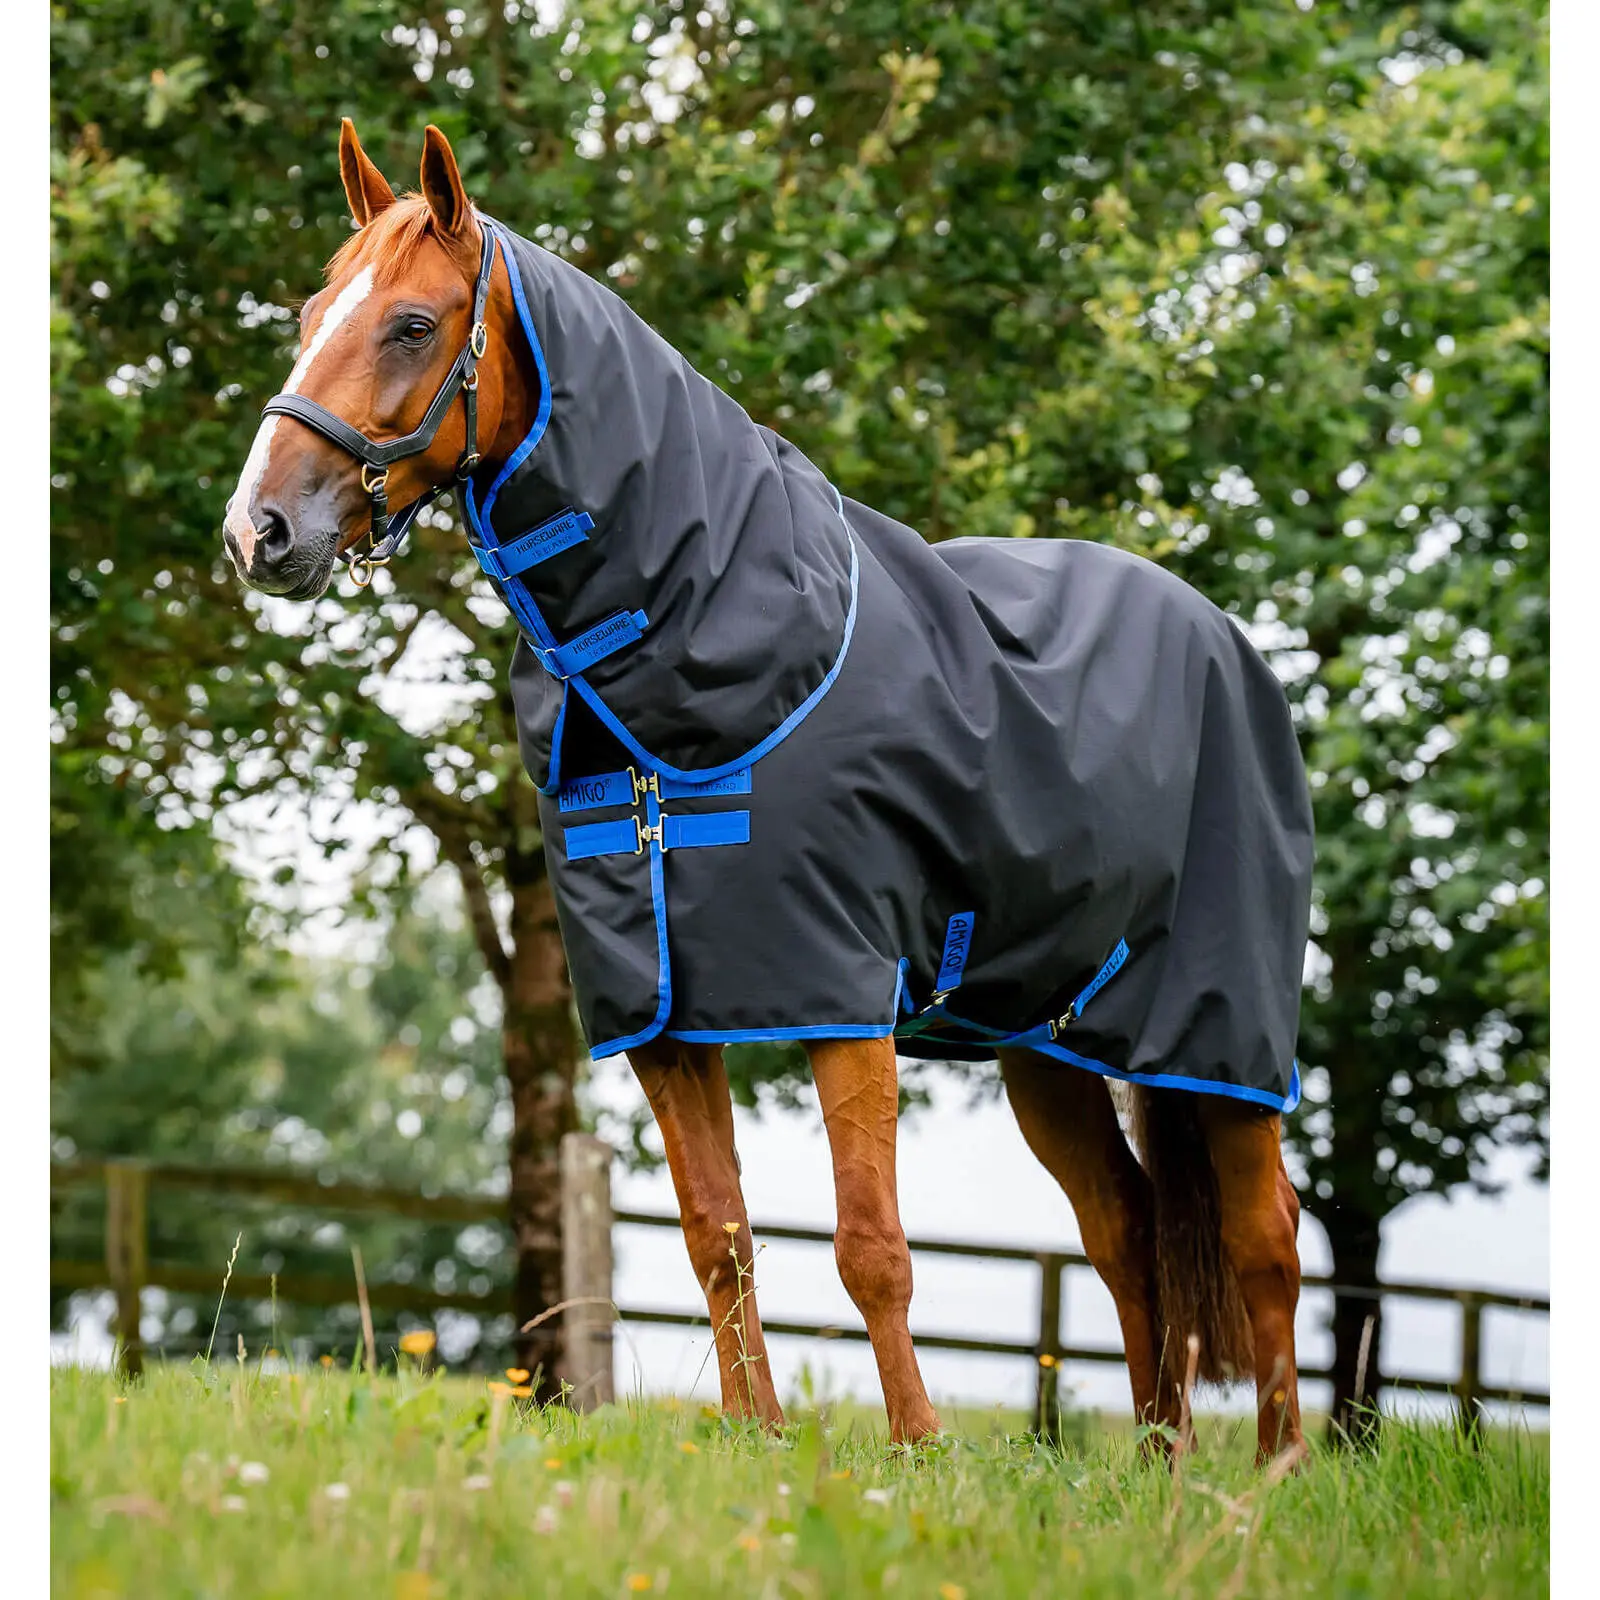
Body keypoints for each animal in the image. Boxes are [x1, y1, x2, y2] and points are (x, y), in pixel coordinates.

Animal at [224, 120, 1311, 1464]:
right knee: (1126, 1229)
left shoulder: (837, 990)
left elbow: (870, 1244)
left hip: (1219, 1031)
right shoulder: (661, 1014)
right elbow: (718, 1236)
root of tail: (1224, 638)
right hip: (1042, 1040)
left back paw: (1274, 1471)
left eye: (413, 325)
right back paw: (1163, 1468)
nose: (259, 531)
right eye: (311, 311)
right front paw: (760, 1443)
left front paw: (914, 1451)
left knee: (1265, 1237)